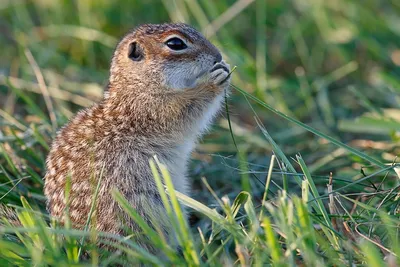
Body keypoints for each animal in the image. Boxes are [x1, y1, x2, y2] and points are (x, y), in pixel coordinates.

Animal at [43, 24, 231, 252]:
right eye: (176, 43)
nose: (218, 55)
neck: (136, 86)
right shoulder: (156, 110)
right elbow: (189, 106)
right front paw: (214, 80)